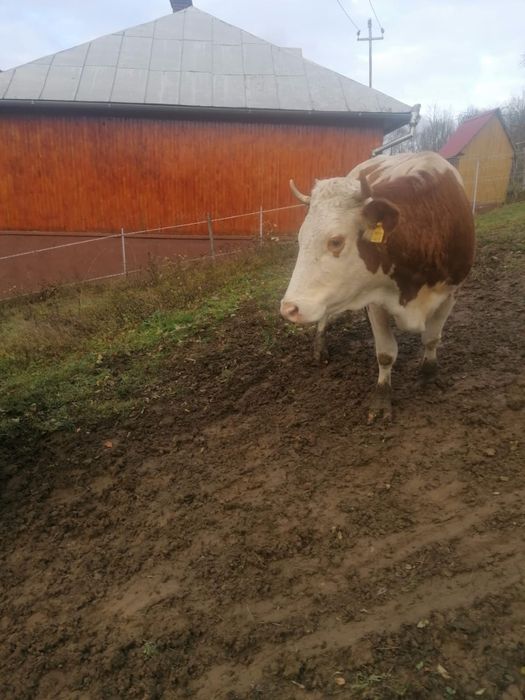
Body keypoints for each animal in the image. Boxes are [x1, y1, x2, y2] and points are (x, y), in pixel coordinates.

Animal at [281, 151, 475, 422]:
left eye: (336, 241)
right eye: (301, 239)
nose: (289, 308)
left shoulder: (452, 291)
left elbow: (432, 339)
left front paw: (428, 375)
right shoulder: (374, 300)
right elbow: (385, 353)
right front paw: (382, 399)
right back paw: (320, 347)